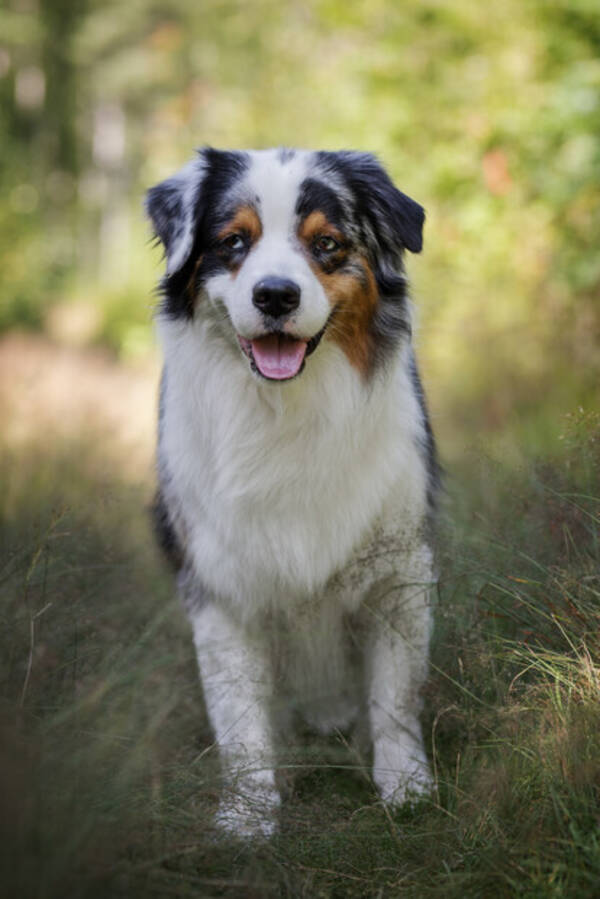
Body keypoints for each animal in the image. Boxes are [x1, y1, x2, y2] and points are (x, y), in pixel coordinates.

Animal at [148, 146, 438, 836]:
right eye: (234, 242)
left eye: (326, 243)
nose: (275, 294)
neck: (285, 410)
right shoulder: (218, 583)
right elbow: (238, 714)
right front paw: (249, 816)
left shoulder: (399, 567)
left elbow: (395, 695)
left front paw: (405, 787)